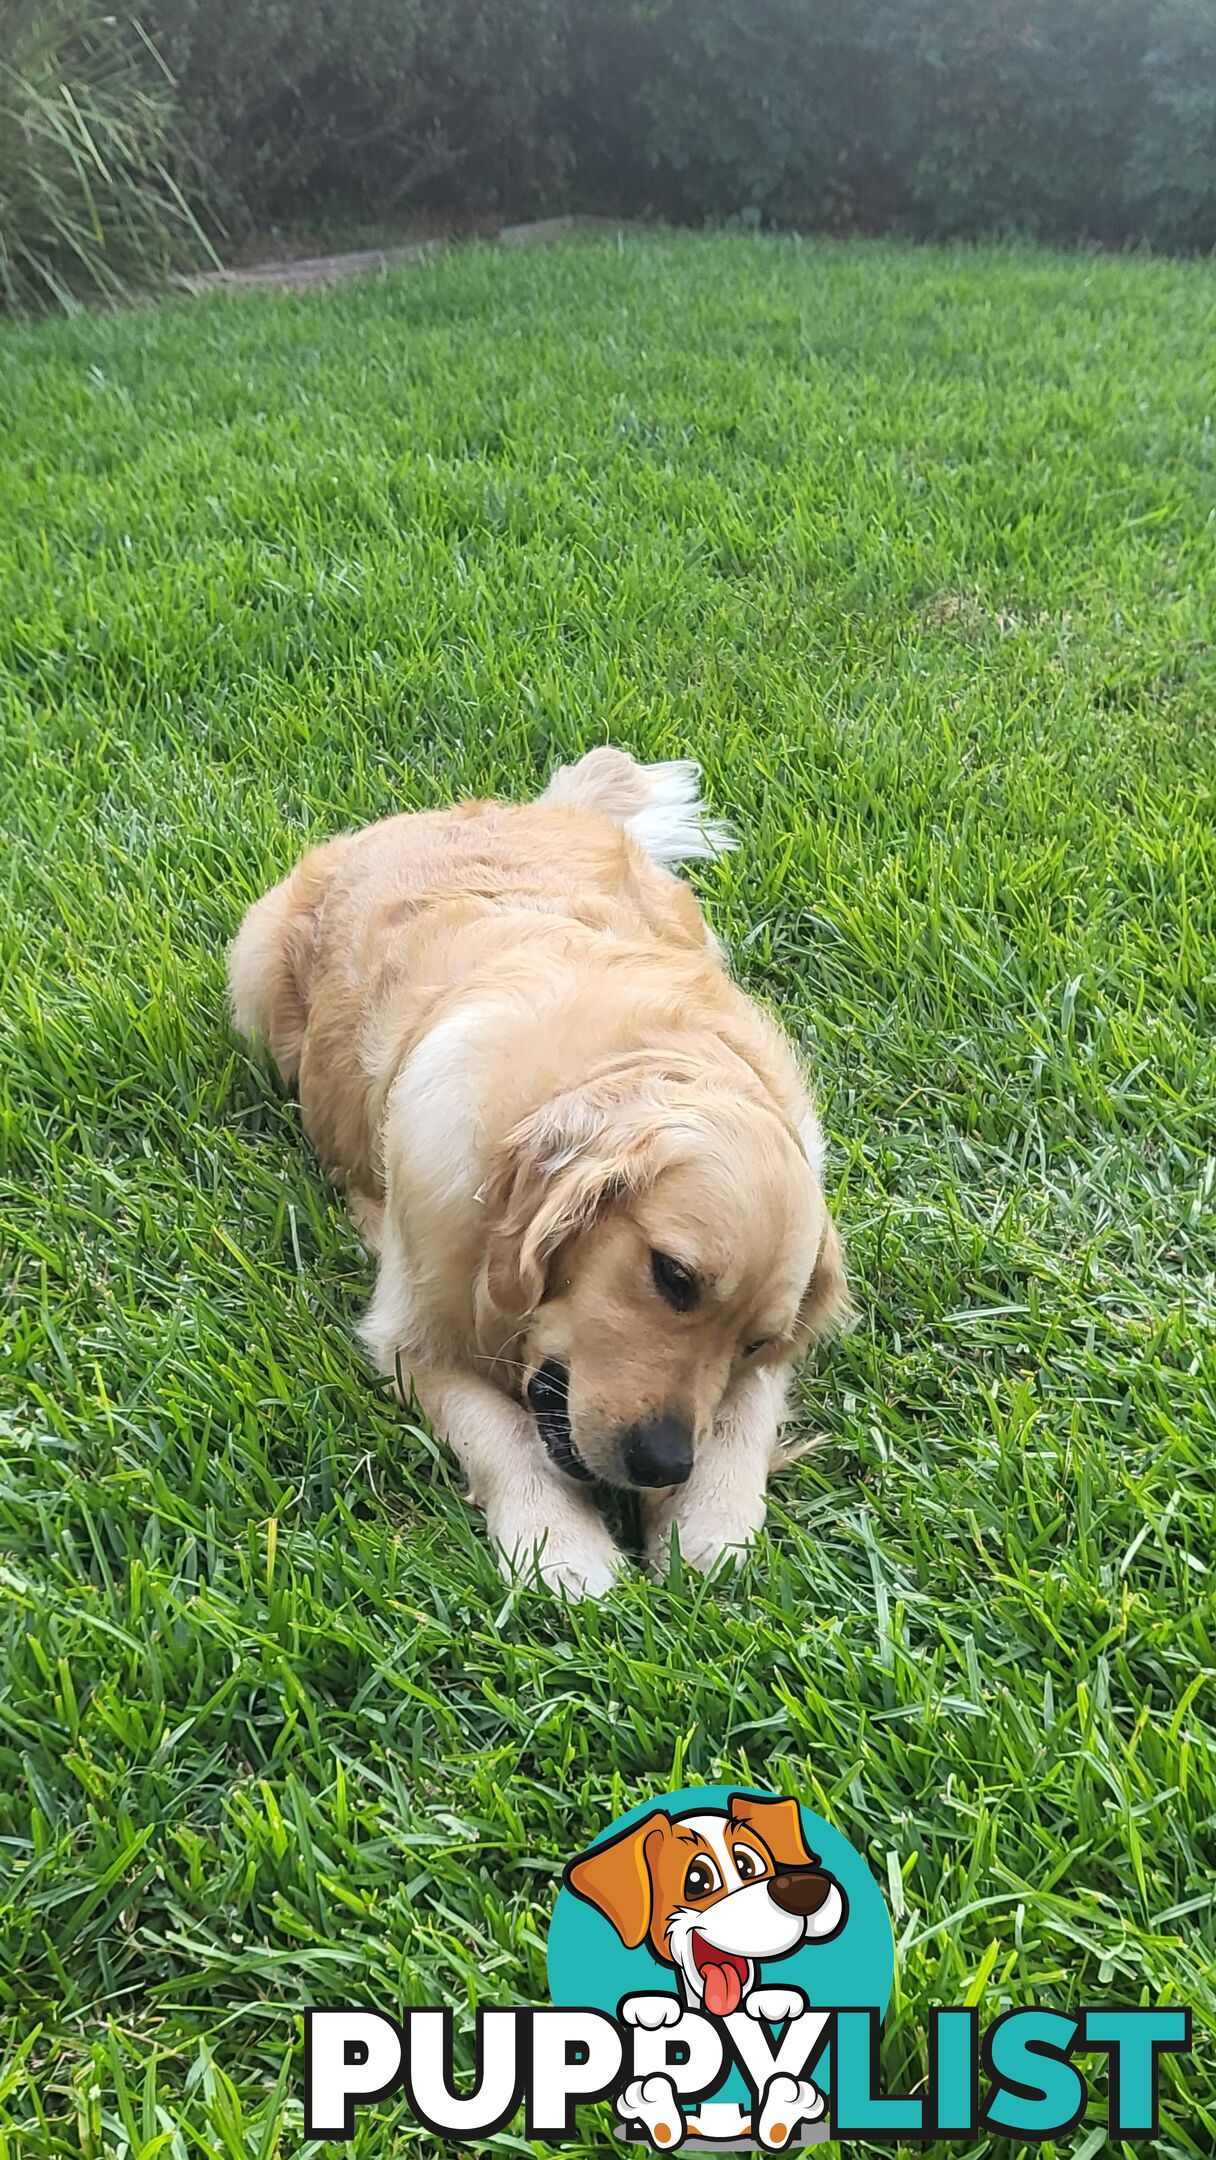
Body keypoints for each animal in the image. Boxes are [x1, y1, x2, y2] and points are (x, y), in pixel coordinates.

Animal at [233, 751, 850, 1598]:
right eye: (673, 1277)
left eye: (758, 1341)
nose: (665, 1464)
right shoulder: (415, 1334)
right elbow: (504, 1433)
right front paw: (562, 1545)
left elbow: (741, 1418)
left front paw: (707, 1523)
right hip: (252, 968)